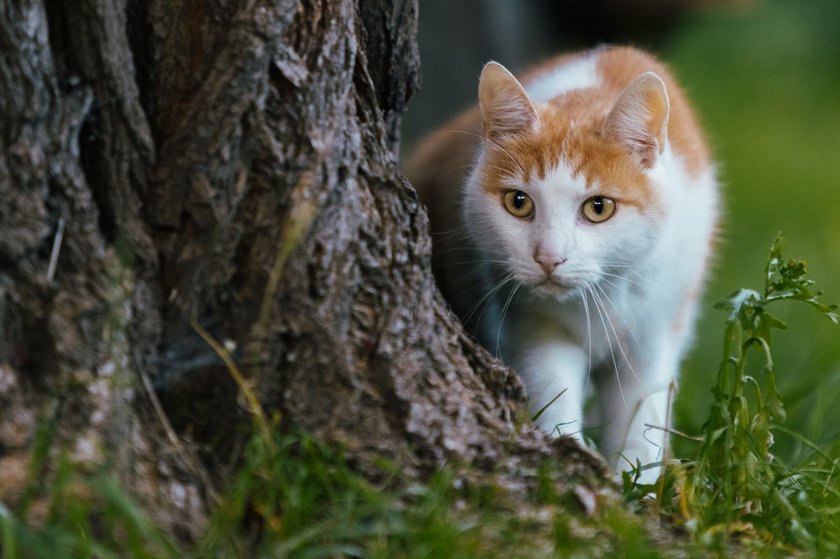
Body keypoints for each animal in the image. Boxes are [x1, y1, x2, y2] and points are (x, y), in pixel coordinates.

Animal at [406, 46, 716, 484]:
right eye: (518, 202)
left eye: (599, 207)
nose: (549, 257)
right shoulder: (530, 322)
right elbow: (552, 383)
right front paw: (566, 454)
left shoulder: (654, 330)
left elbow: (642, 415)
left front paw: (637, 484)